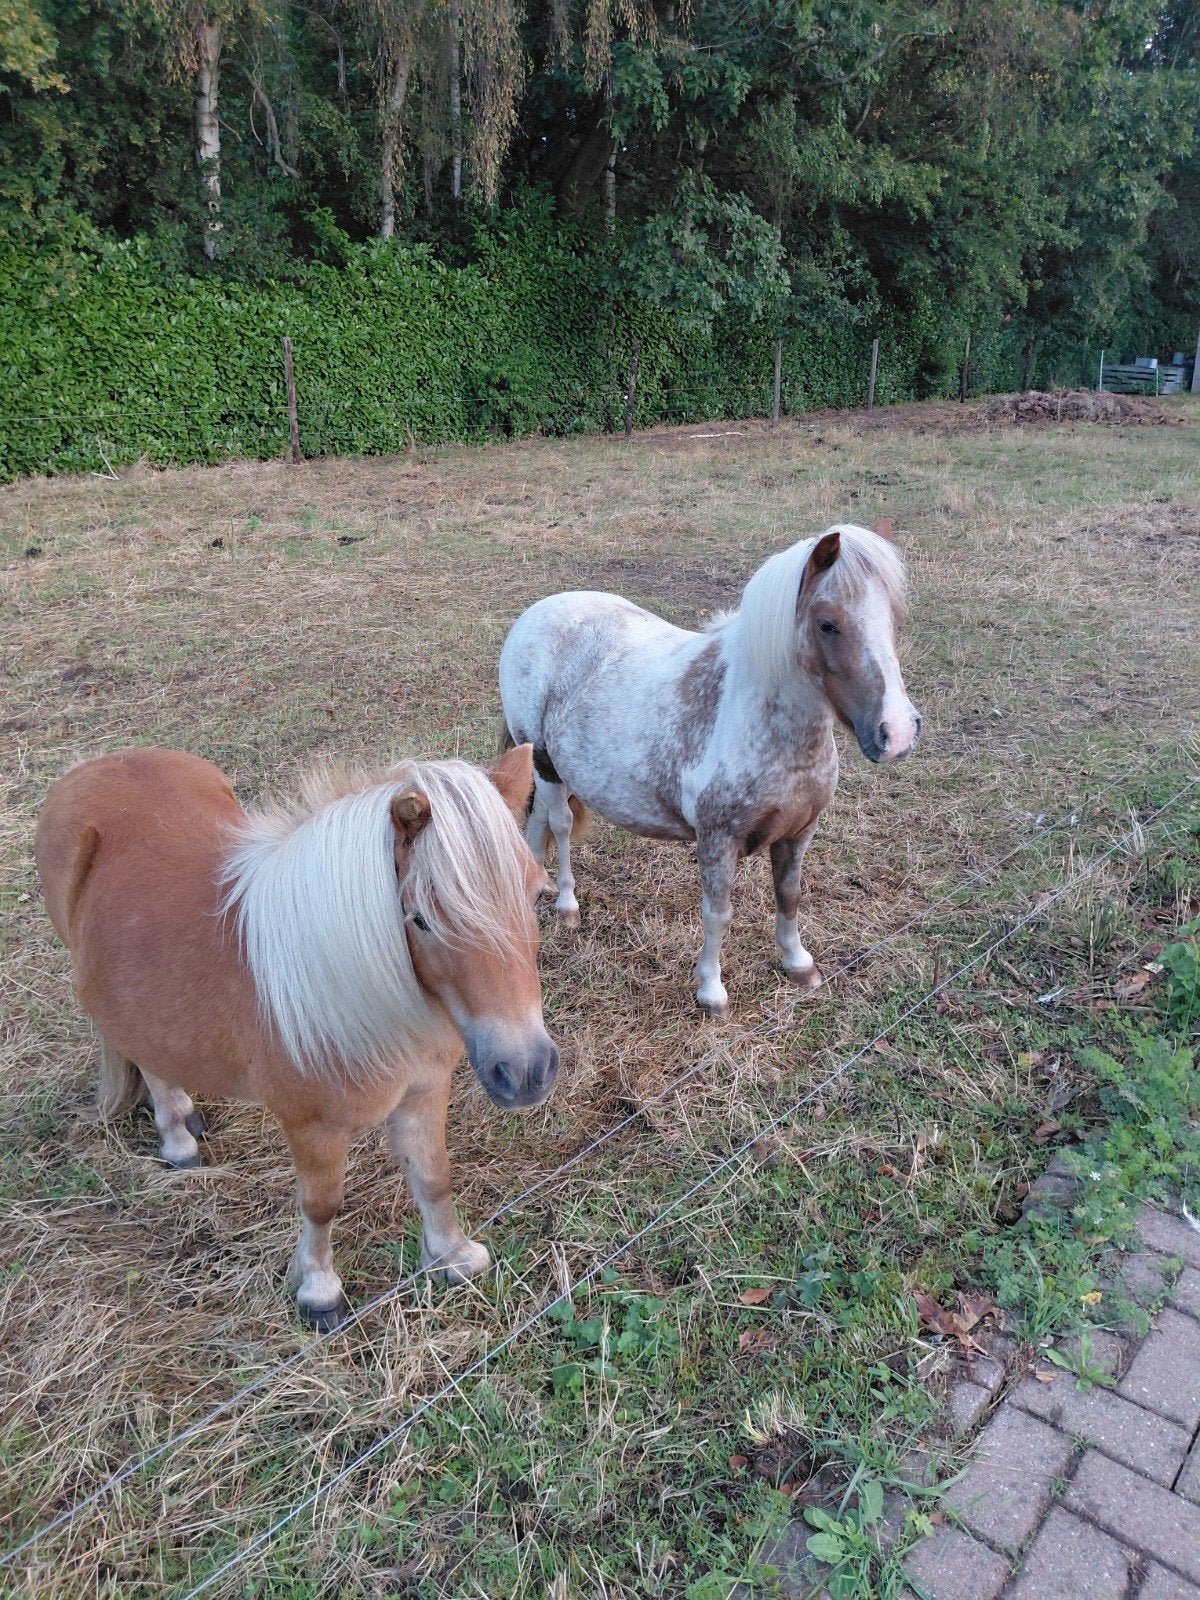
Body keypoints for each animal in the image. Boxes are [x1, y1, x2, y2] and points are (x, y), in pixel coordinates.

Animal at [34, 742, 558, 1330]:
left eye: (537, 893)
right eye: (420, 918)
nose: (526, 1071)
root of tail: (91, 768)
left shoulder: (425, 1093)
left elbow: (433, 1176)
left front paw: (453, 1256)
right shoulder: (312, 1127)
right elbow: (321, 1205)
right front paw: (318, 1292)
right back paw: (178, 1141)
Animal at [498, 523, 921, 1016]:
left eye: (894, 618)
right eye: (827, 624)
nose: (897, 732)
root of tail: (538, 613)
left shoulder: (799, 832)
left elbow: (790, 895)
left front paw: (799, 964)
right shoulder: (718, 840)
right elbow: (718, 913)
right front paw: (711, 991)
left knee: (538, 819)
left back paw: (535, 886)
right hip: (546, 763)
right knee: (561, 823)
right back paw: (566, 904)